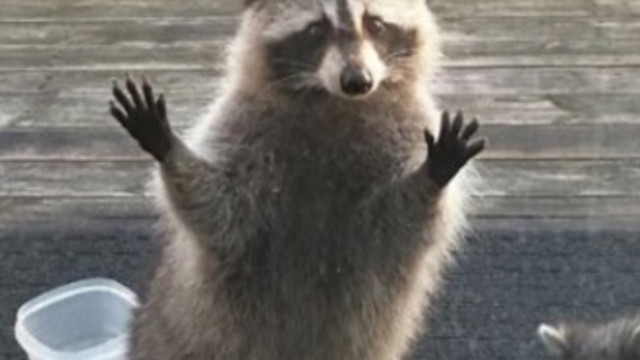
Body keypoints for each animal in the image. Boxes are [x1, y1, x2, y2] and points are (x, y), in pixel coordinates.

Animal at [109, 0, 484, 360]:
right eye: (316, 29)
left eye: (375, 24)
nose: (357, 80)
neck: (333, 102)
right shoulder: (243, 125)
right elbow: (222, 211)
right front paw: (170, 148)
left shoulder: (409, 128)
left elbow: (404, 221)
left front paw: (432, 175)